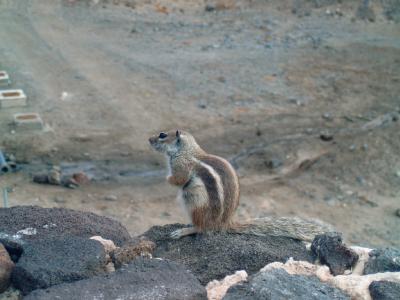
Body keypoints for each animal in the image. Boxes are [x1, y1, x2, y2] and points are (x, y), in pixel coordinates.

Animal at [148, 130, 332, 240]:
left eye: (162, 135)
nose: (149, 139)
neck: (188, 150)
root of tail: (225, 224)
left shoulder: (182, 165)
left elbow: (178, 180)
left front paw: (166, 178)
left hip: (194, 201)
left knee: (202, 228)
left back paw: (184, 231)